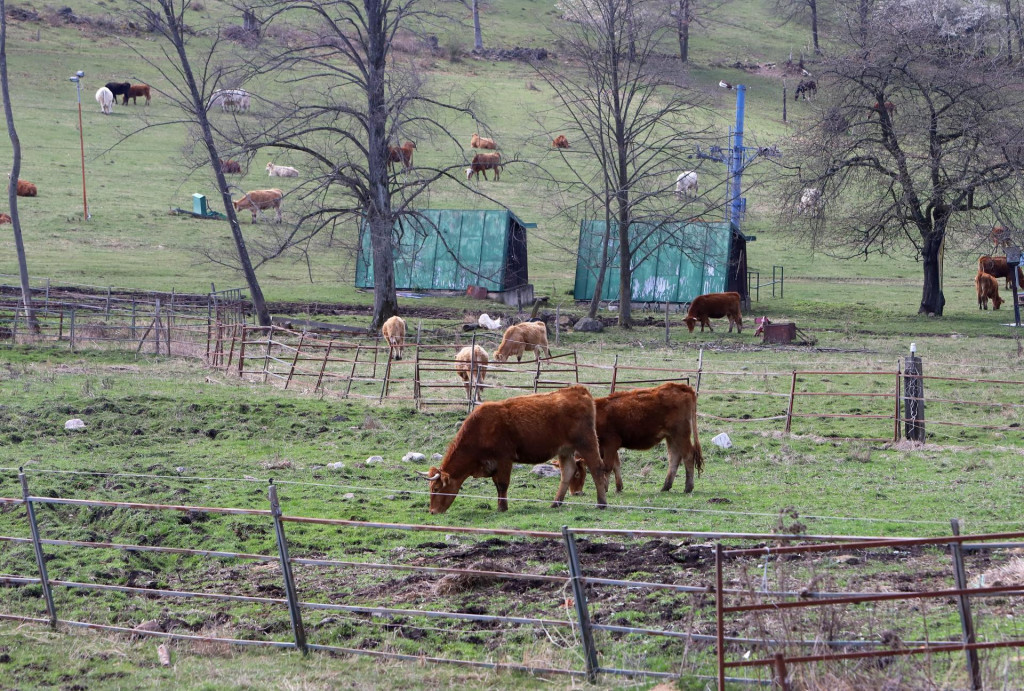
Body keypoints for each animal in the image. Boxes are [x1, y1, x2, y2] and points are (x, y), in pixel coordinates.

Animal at [417, 386, 606, 511]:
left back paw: (601, 502)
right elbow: (497, 484)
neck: (481, 429)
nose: (432, 511)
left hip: (587, 443)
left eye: (436, 489)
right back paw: (556, 503)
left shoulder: (504, 459)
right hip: (565, 450)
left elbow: (502, 484)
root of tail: (578, 390)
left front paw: (502, 507)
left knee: (597, 468)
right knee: (567, 472)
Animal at [561, 382, 704, 497]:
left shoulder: (611, 444)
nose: (575, 493)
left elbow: (607, 467)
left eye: (577, 474)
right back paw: (666, 486)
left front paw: (605, 487)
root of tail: (680, 386)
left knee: (688, 456)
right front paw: (618, 487)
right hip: (671, 437)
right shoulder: (609, 447)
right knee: (674, 458)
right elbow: (616, 465)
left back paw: (688, 487)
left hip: (681, 434)